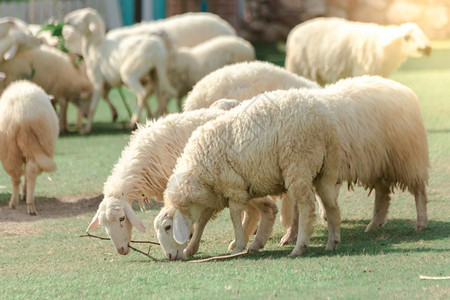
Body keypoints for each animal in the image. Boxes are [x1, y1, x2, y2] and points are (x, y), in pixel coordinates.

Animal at [0, 80, 59, 216]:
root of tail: (22, 116)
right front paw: (24, 194)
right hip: (43, 141)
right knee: (30, 172)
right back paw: (29, 203)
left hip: (9, 150)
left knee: (16, 176)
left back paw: (15, 202)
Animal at [153, 89, 342, 260]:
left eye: (168, 227)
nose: (169, 256)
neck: (195, 172)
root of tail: (321, 117)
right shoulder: (216, 194)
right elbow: (201, 222)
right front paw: (190, 249)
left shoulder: (233, 188)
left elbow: (234, 216)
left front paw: (239, 246)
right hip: (322, 169)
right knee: (330, 203)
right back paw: (332, 240)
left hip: (299, 162)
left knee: (306, 206)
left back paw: (298, 246)